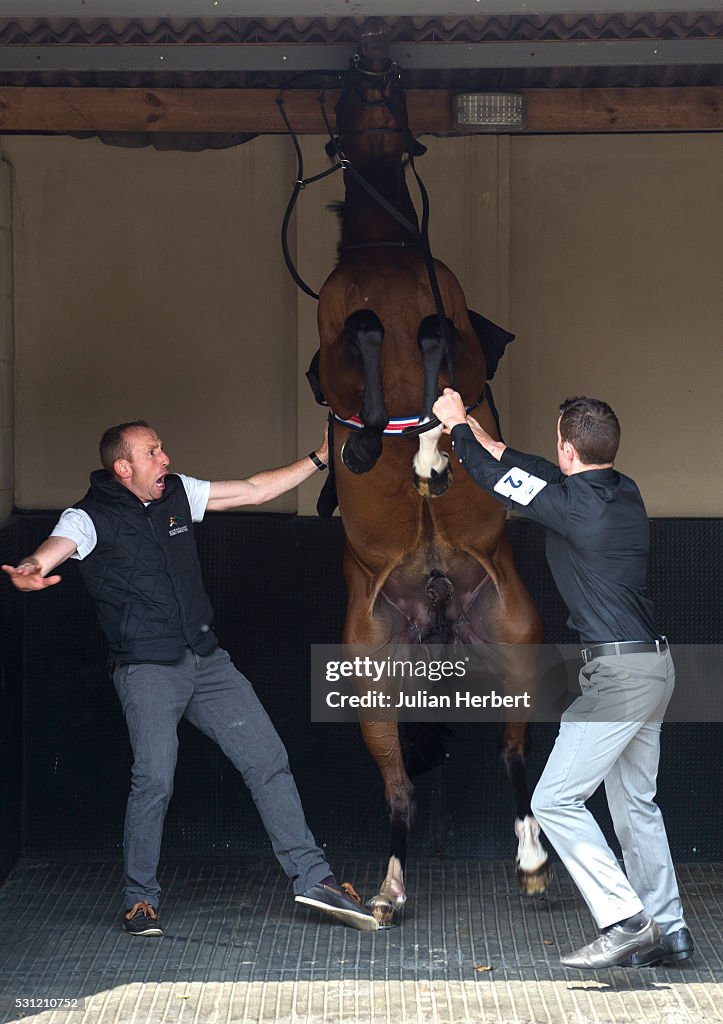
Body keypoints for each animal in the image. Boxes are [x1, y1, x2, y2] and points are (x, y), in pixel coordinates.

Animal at [315, 37, 544, 929]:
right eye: (347, 95)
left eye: (398, 89)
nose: (371, 59)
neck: (385, 253)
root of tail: (439, 606)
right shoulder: (337, 343)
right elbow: (367, 332)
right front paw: (379, 445)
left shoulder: (461, 342)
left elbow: (438, 336)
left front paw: (431, 452)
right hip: (370, 681)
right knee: (400, 789)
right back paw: (386, 890)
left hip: (515, 653)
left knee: (516, 760)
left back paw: (530, 861)